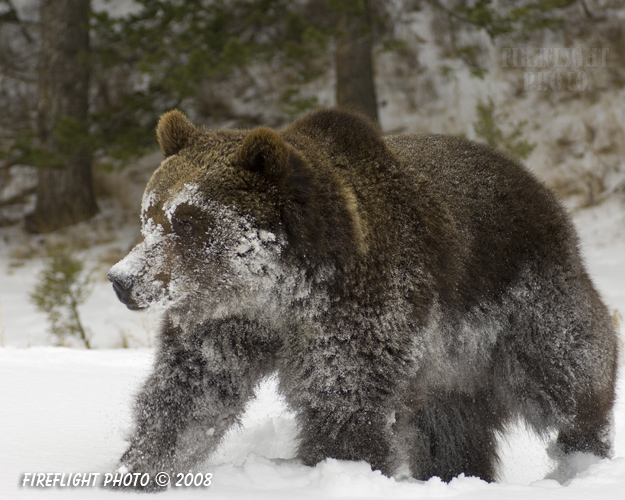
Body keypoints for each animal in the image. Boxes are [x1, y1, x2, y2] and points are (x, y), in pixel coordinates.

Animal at [107, 108, 616, 488]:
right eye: (150, 215)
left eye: (188, 222)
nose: (122, 280)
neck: (284, 292)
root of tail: (540, 187)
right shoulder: (226, 320)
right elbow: (190, 394)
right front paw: (139, 467)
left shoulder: (361, 313)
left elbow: (344, 404)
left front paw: (337, 468)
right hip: (448, 367)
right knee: (447, 429)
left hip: (524, 303)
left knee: (569, 375)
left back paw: (582, 460)